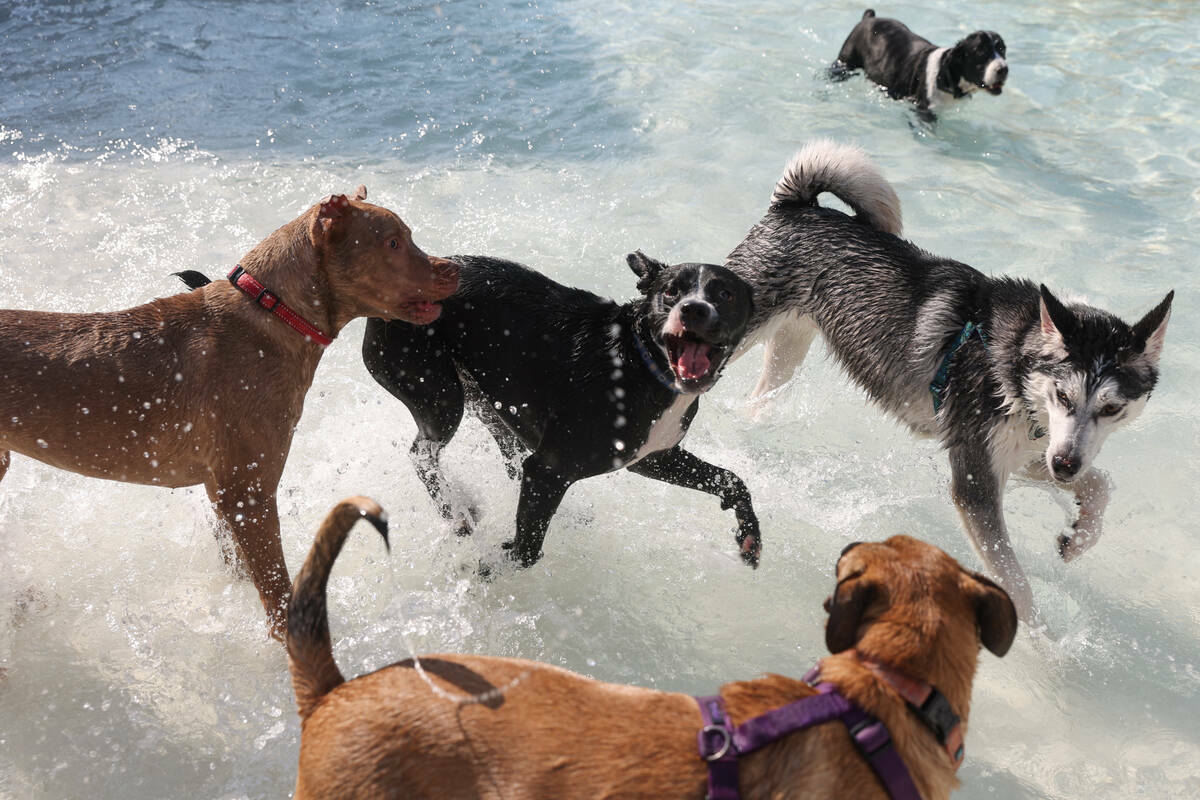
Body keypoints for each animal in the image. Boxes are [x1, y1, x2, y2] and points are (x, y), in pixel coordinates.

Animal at [0, 189, 458, 638]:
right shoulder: (249, 493)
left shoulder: (222, 492)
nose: (453, 268)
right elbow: (277, 591)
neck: (276, 312)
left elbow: (239, 566)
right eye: (393, 243)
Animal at [360, 250, 763, 568]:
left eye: (725, 293)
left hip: (486, 399)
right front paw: (491, 567)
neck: (639, 363)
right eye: (670, 291)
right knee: (422, 454)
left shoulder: (653, 457)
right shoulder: (550, 469)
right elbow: (526, 552)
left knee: (508, 455)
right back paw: (456, 513)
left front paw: (750, 540)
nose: (694, 309)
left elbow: (732, 480)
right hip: (439, 395)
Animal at [835, 9, 1012, 117]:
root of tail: (868, 17)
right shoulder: (924, 110)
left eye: (1003, 49)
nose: (1003, 69)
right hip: (844, 64)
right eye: (981, 52)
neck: (947, 74)